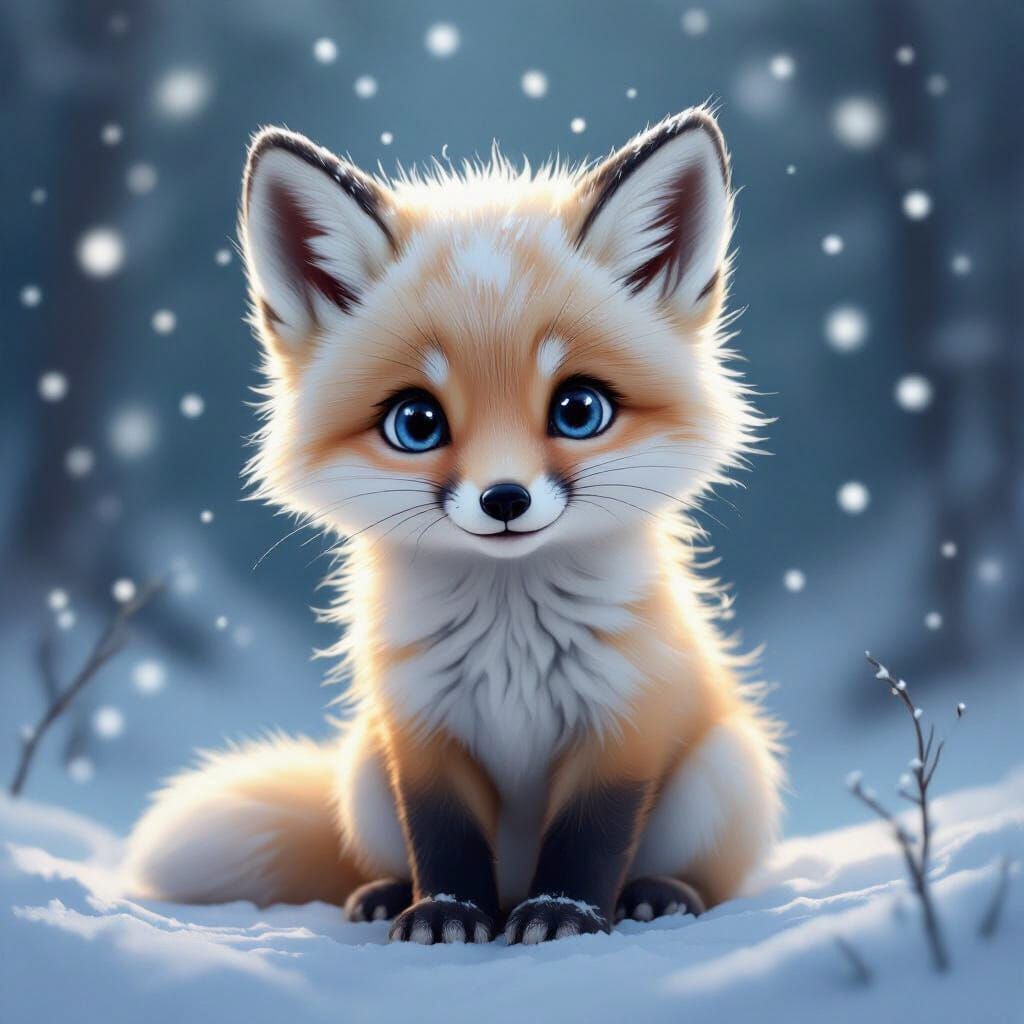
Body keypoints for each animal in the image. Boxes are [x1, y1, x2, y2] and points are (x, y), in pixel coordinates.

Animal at [124, 106, 783, 945]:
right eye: (416, 423)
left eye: (579, 409)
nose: (504, 500)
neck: (511, 641)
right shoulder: (420, 730)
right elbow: (442, 840)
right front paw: (444, 916)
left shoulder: (624, 724)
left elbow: (590, 842)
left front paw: (564, 917)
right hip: (362, 773)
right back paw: (384, 894)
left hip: (722, 773)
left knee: (698, 874)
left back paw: (659, 893)